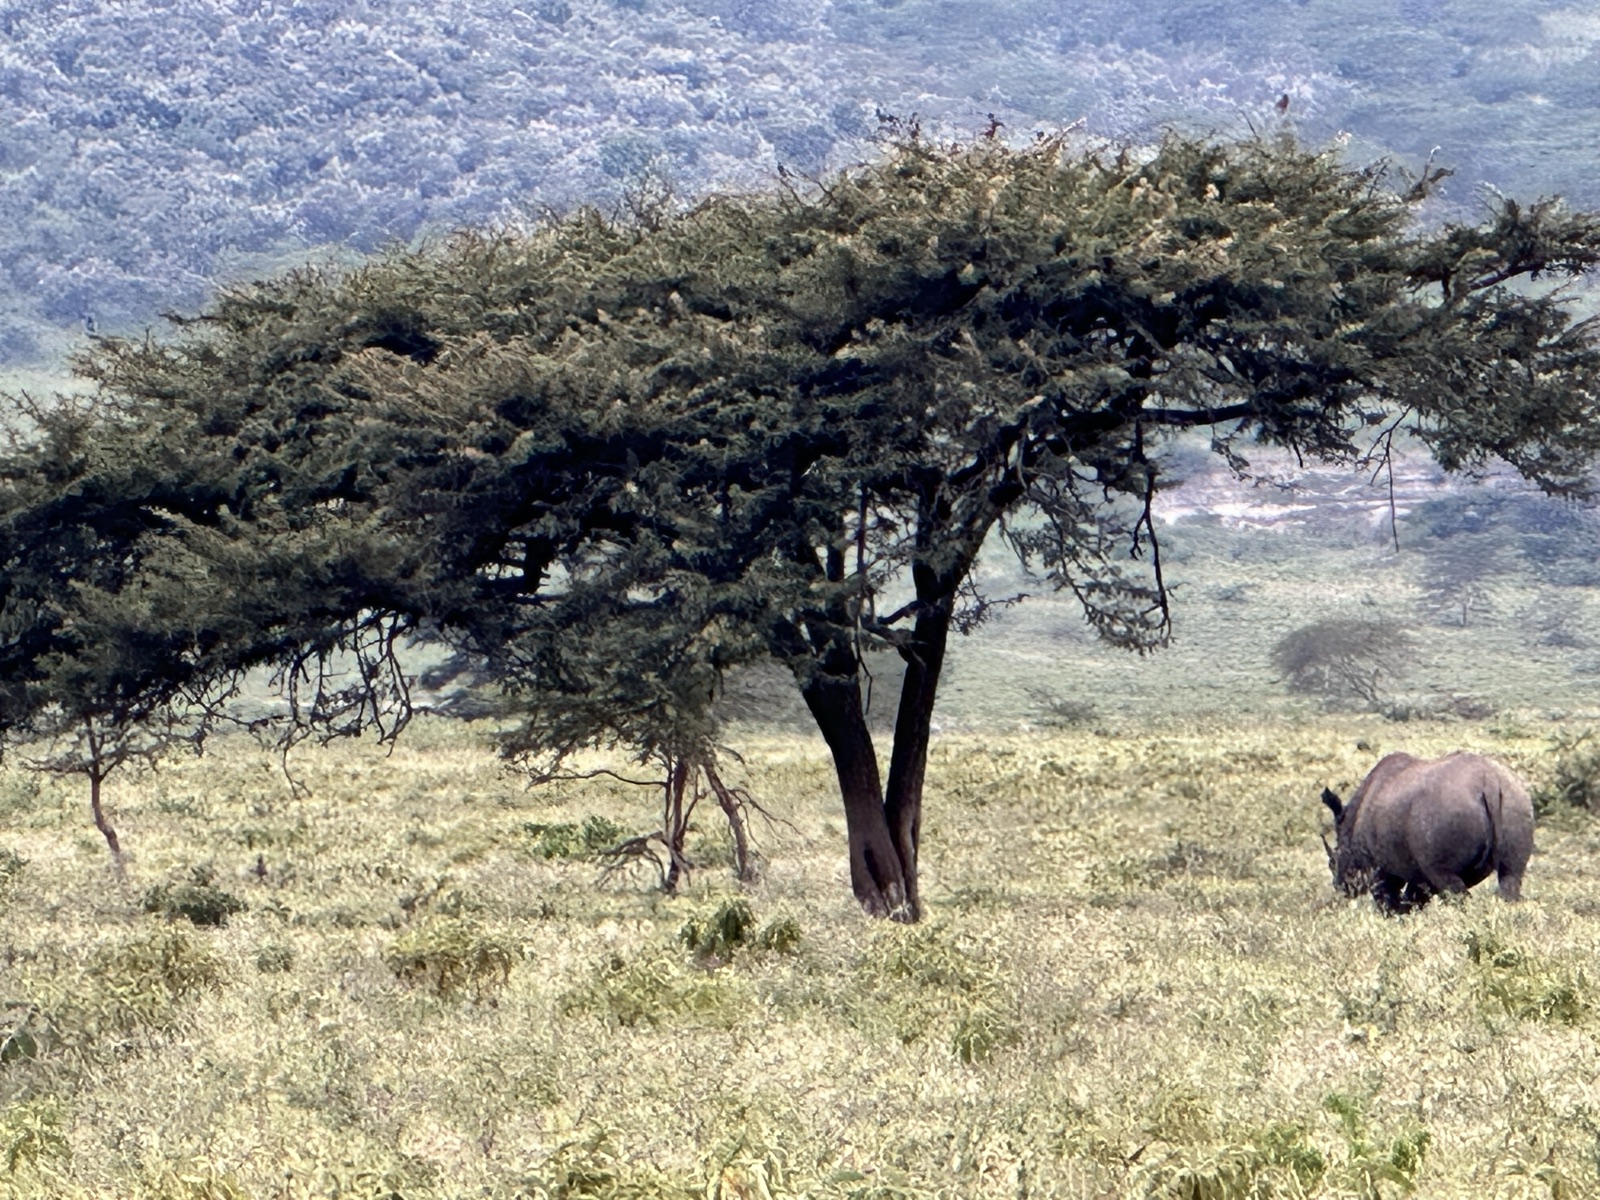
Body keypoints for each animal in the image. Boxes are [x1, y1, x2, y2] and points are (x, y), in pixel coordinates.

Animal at [1320, 751, 1533, 912]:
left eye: (1332, 863)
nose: (1341, 888)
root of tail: (1490, 782)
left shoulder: (1379, 868)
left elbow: (1388, 901)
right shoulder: (1418, 871)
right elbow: (1414, 898)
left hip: (1444, 811)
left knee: (1451, 886)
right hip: (1515, 798)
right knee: (1511, 875)